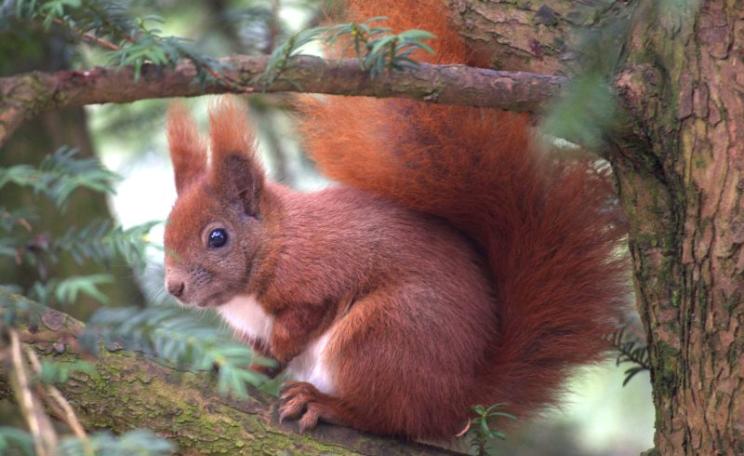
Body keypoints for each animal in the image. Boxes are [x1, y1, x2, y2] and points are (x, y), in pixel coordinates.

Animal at [162, 0, 627, 440]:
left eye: (217, 237)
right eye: (166, 231)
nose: (174, 288)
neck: (277, 243)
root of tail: (458, 401)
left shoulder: (315, 281)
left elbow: (295, 330)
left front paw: (273, 355)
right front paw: (232, 370)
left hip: (381, 337)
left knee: (387, 417)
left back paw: (325, 404)